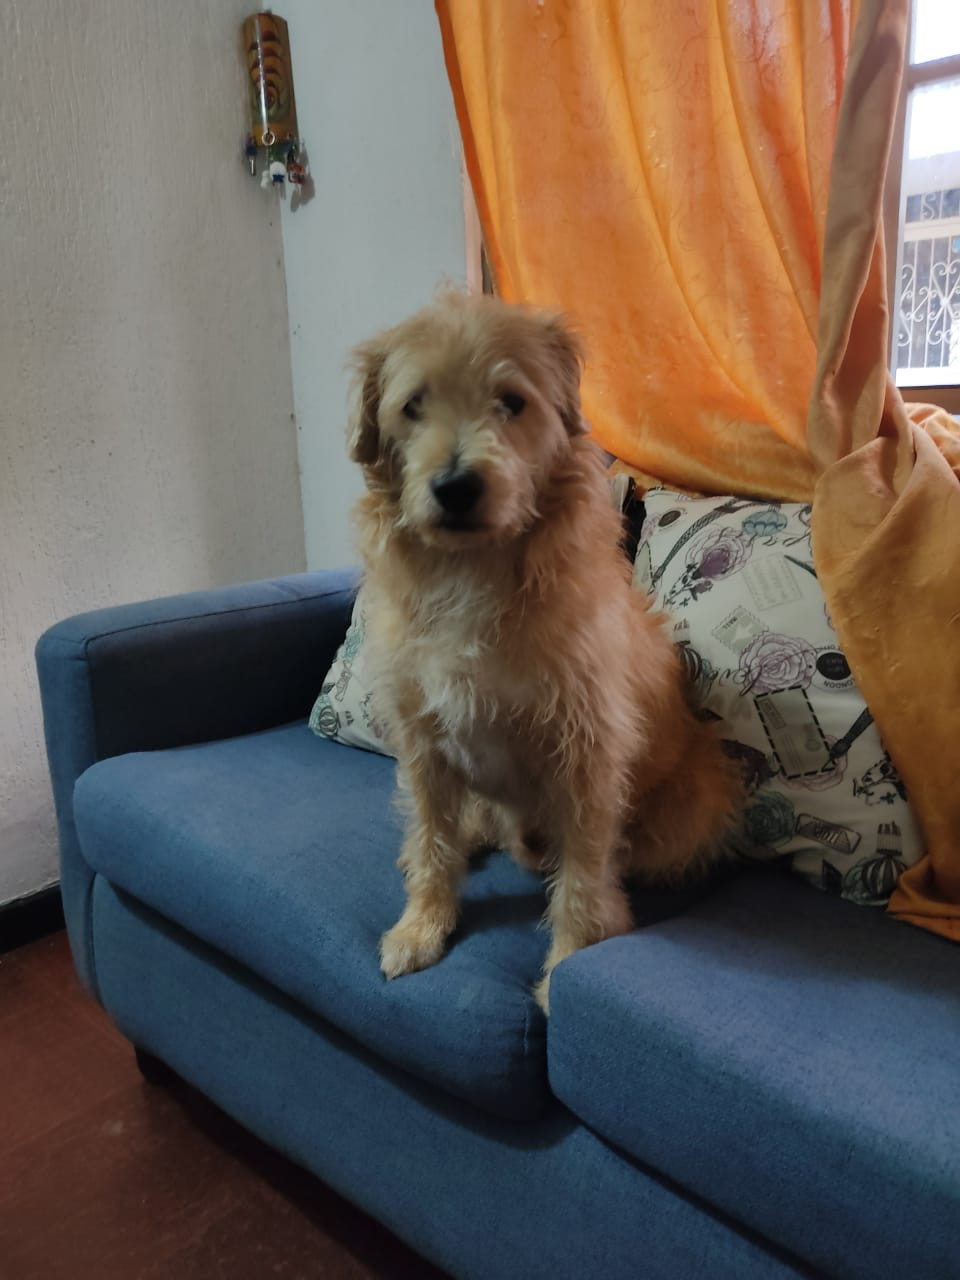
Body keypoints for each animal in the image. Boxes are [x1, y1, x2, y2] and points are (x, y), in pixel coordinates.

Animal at [347, 291, 741, 1011]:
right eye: (413, 404)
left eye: (512, 401)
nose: (456, 487)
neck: (473, 573)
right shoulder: (422, 747)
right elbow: (433, 841)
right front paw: (421, 925)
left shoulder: (585, 760)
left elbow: (583, 878)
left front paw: (566, 967)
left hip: (698, 801)